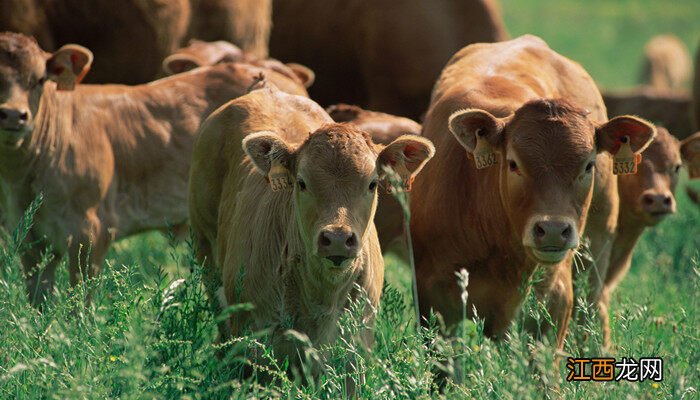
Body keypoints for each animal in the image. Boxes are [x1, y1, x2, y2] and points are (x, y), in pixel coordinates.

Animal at [0, 32, 308, 306]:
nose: (13, 115)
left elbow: (80, 305)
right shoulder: (29, 238)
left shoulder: (90, 233)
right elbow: (39, 302)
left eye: (39, 80)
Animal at [410, 35, 656, 346]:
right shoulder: (436, 301)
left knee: (592, 310)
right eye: (513, 163)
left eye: (589, 164)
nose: (552, 230)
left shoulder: (553, 303)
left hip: (596, 248)